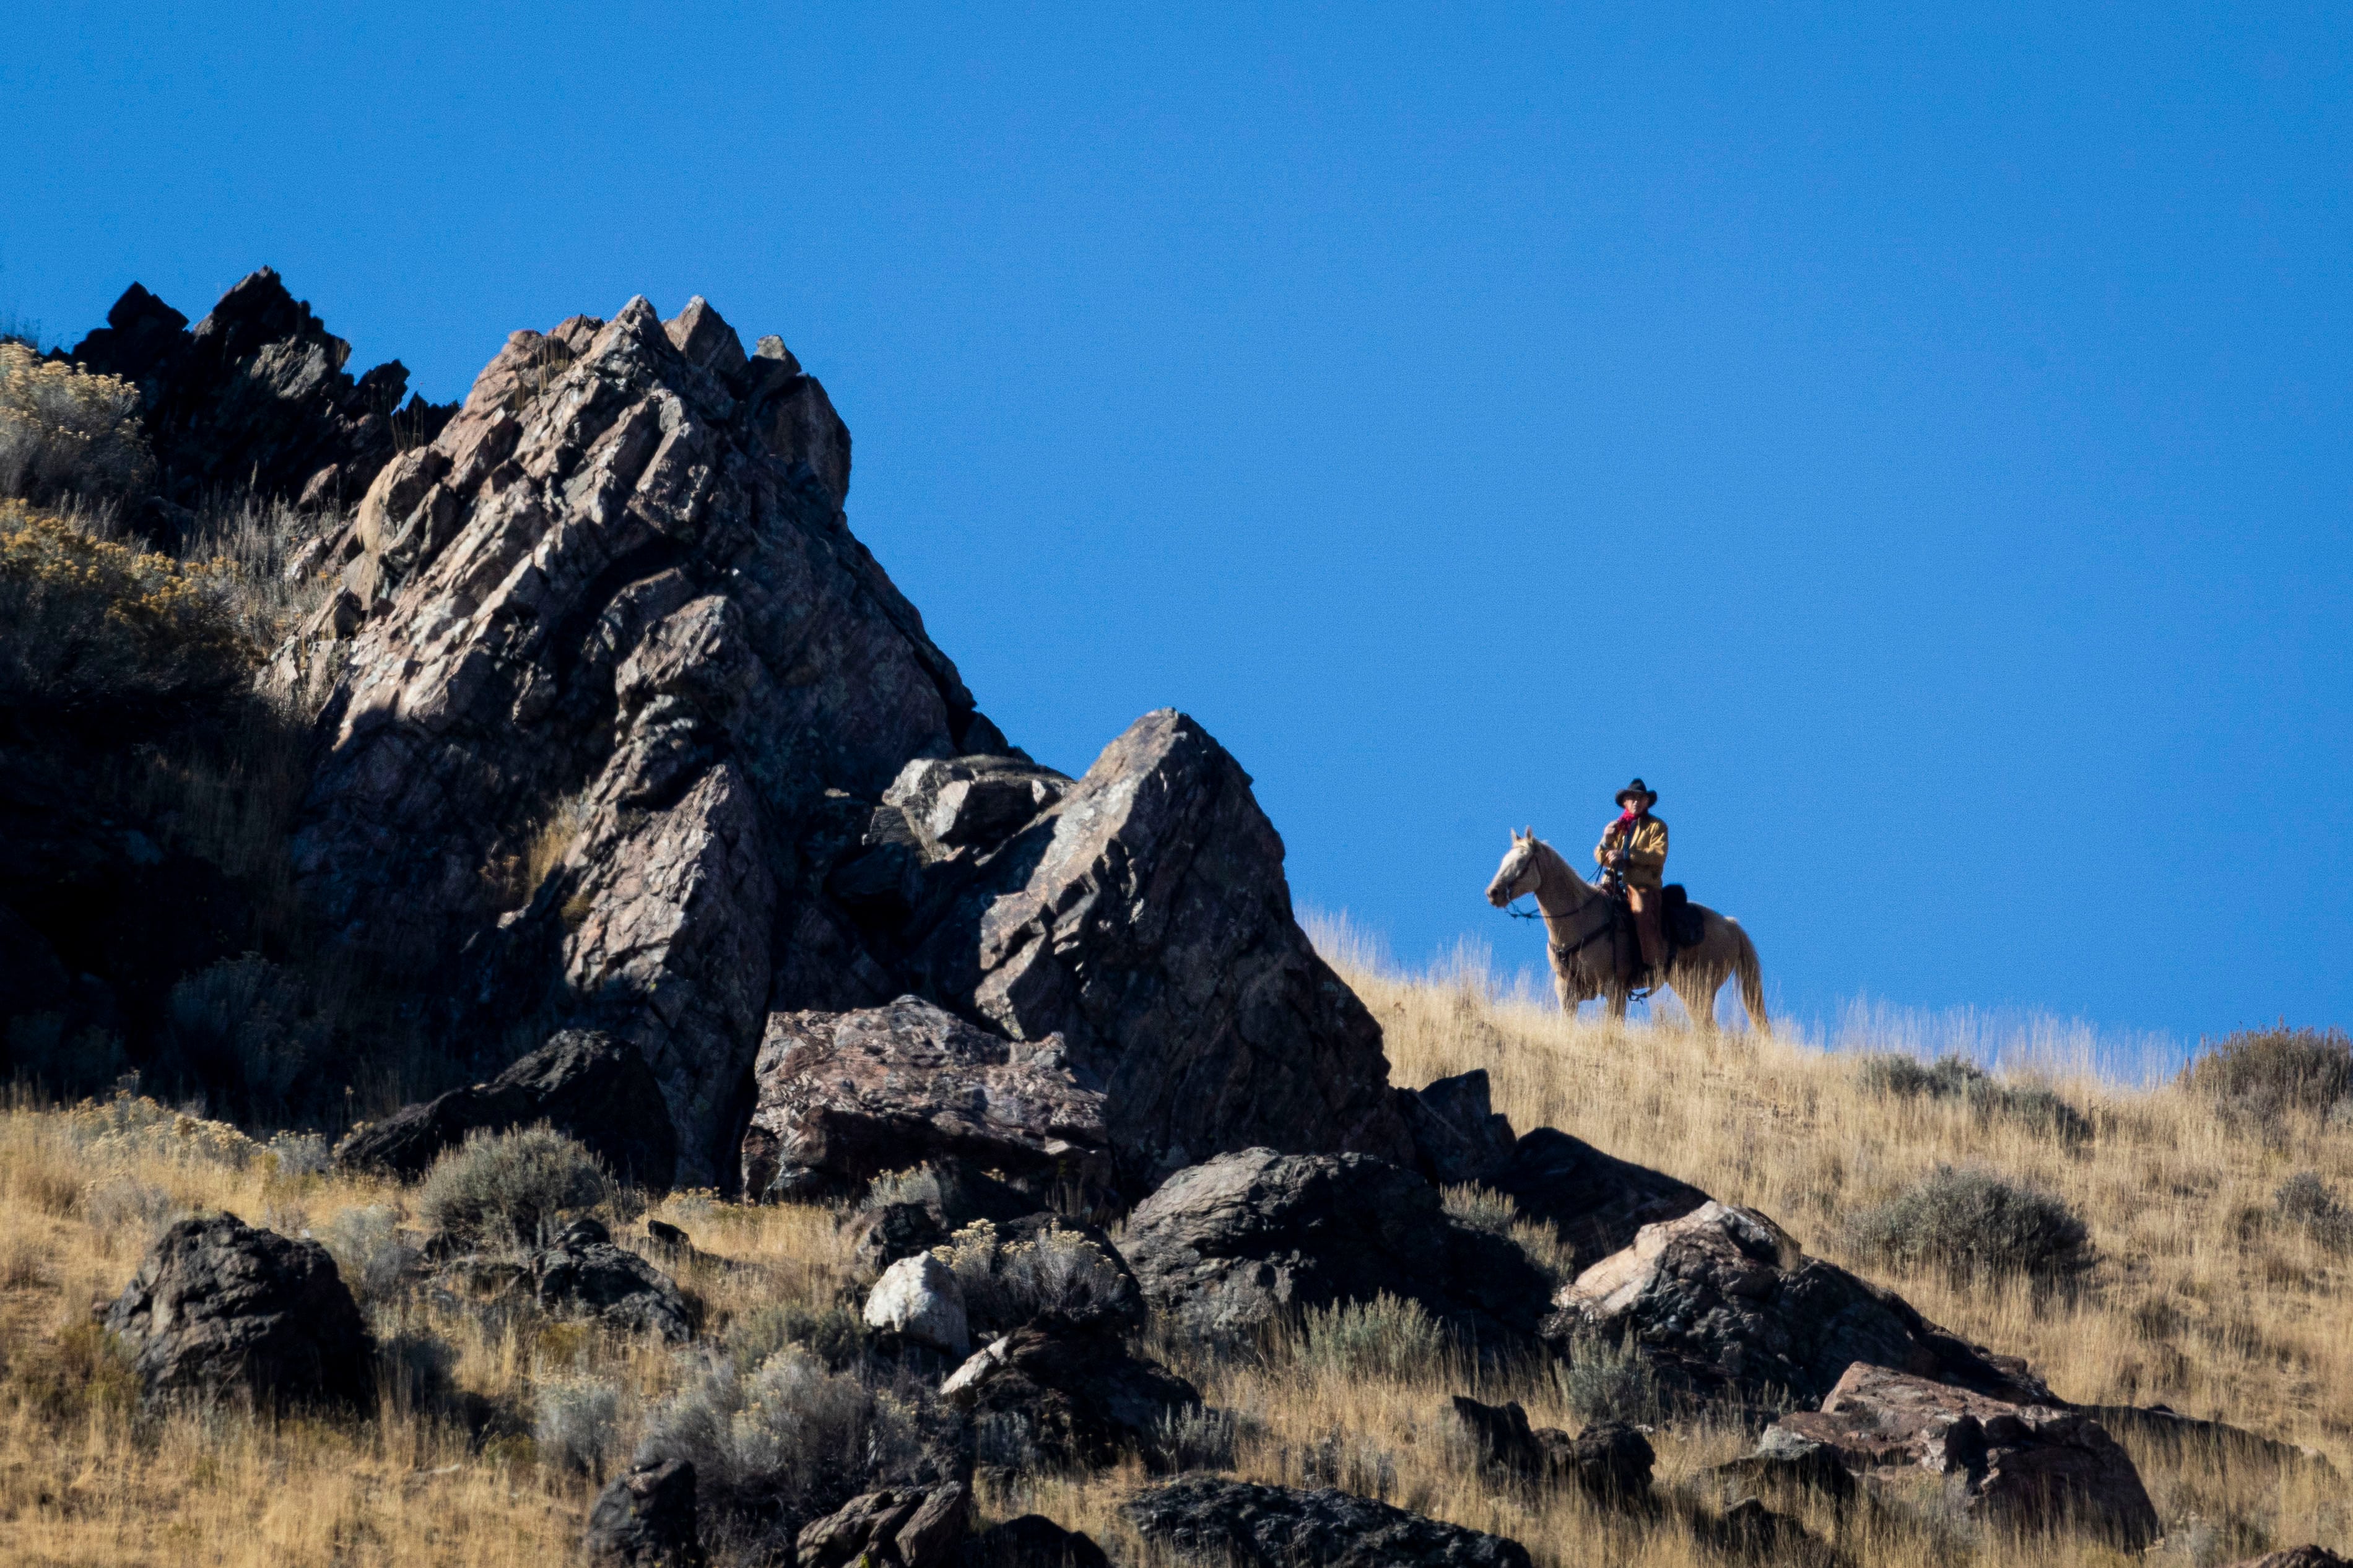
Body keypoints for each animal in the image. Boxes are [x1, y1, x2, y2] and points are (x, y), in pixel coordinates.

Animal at [1487, 827, 1769, 1034]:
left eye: (1522, 862)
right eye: (1503, 860)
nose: (1493, 893)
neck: (1581, 920)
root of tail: (1731, 925)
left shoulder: (1615, 989)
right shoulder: (1566, 991)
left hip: (1699, 992)